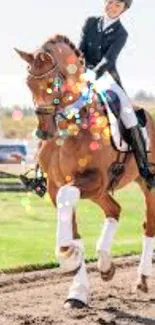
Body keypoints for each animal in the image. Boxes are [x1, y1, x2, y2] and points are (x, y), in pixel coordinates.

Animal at [15, 34, 154, 308]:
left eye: (52, 83)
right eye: (28, 83)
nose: (43, 132)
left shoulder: (94, 180)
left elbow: (68, 200)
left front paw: (68, 255)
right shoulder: (58, 184)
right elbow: (72, 226)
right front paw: (77, 288)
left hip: (146, 184)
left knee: (149, 225)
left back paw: (142, 279)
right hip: (101, 192)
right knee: (114, 210)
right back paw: (105, 264)